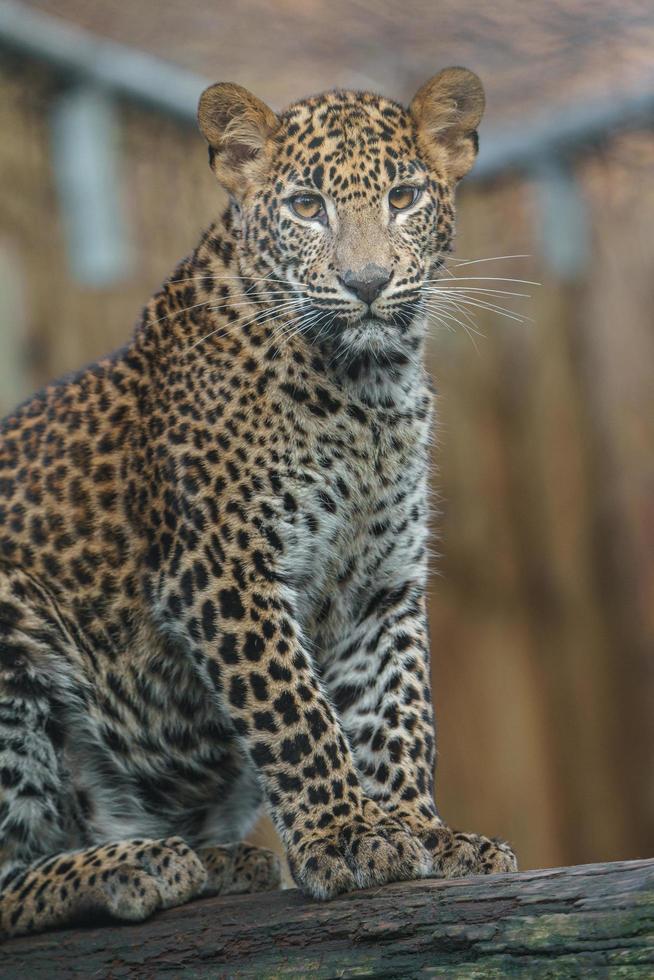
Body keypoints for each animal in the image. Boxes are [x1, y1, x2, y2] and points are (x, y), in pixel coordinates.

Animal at [0, 65, 516, 936]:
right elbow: (297, 713)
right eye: (307, 207)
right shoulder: (223, 571)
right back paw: (133, 865)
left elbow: (398, 711)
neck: (364, 389)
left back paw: (213, 860)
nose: (367, 283)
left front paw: (422, 832)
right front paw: (347, 836)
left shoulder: (382, 582)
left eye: (405, 197)